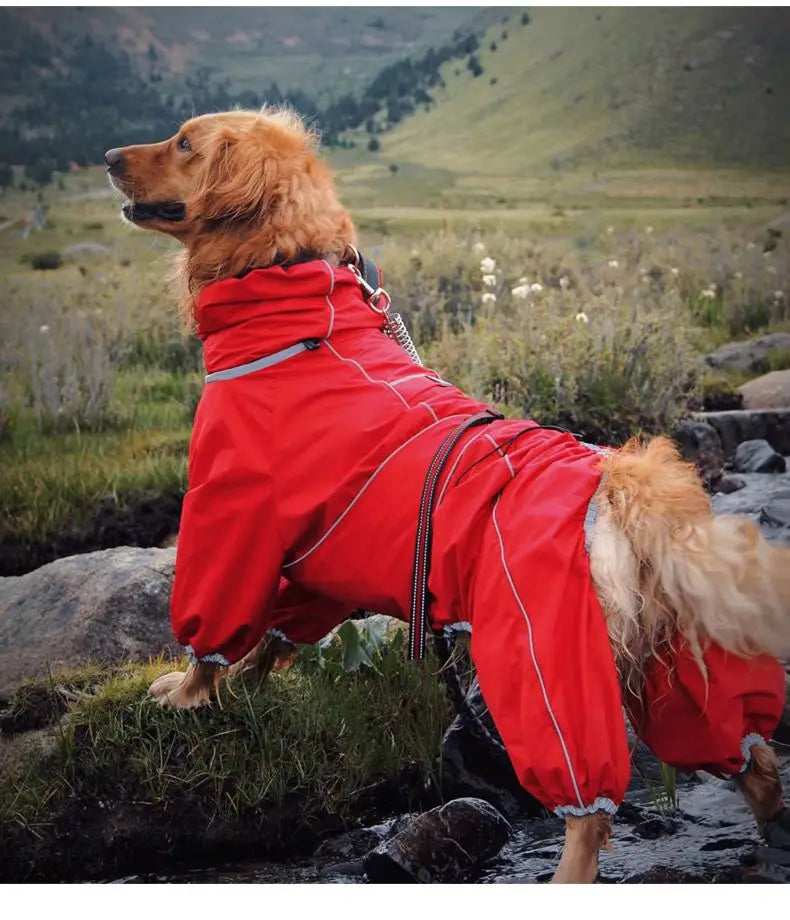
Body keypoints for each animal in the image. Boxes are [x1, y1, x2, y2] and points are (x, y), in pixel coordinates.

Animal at [106, 109, 790, 884]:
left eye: (185, 143)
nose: (107, 157)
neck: (296, 301)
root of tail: (625, 488)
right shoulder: (321, 553)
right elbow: (281, 631)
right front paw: (250, 682)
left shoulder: (230, 511)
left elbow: (213, 626)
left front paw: (186, 694)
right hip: (675, 663)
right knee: (753, 757)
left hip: (545, 663)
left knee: (589, 812)